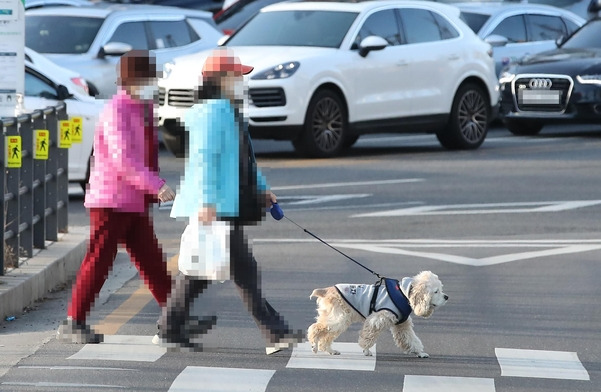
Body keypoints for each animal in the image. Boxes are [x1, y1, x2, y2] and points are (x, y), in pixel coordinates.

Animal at [310, 270, 446, 358]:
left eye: (441, 290)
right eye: (436, 291)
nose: (447, 297)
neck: (403, 294)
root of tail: (325, 290)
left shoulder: (402, 326)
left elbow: (411, 340)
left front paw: (420, 353)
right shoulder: (376, 320)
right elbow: (368, 337)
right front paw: (366, 350)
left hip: (338, 320)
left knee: (326, 336)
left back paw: (331, 350)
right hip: (339, 319)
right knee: (315, 328)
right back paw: (314, 345)